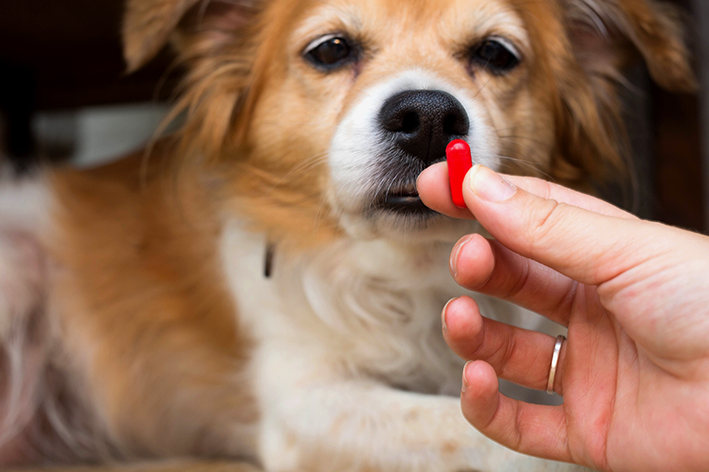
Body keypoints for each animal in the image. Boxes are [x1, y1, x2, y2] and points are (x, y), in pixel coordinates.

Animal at [0, 0, 696, 470]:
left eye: (496, 54)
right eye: (330, 49)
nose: (427, 116)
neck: (409, 268)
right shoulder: (304, 402)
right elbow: (479, 435)